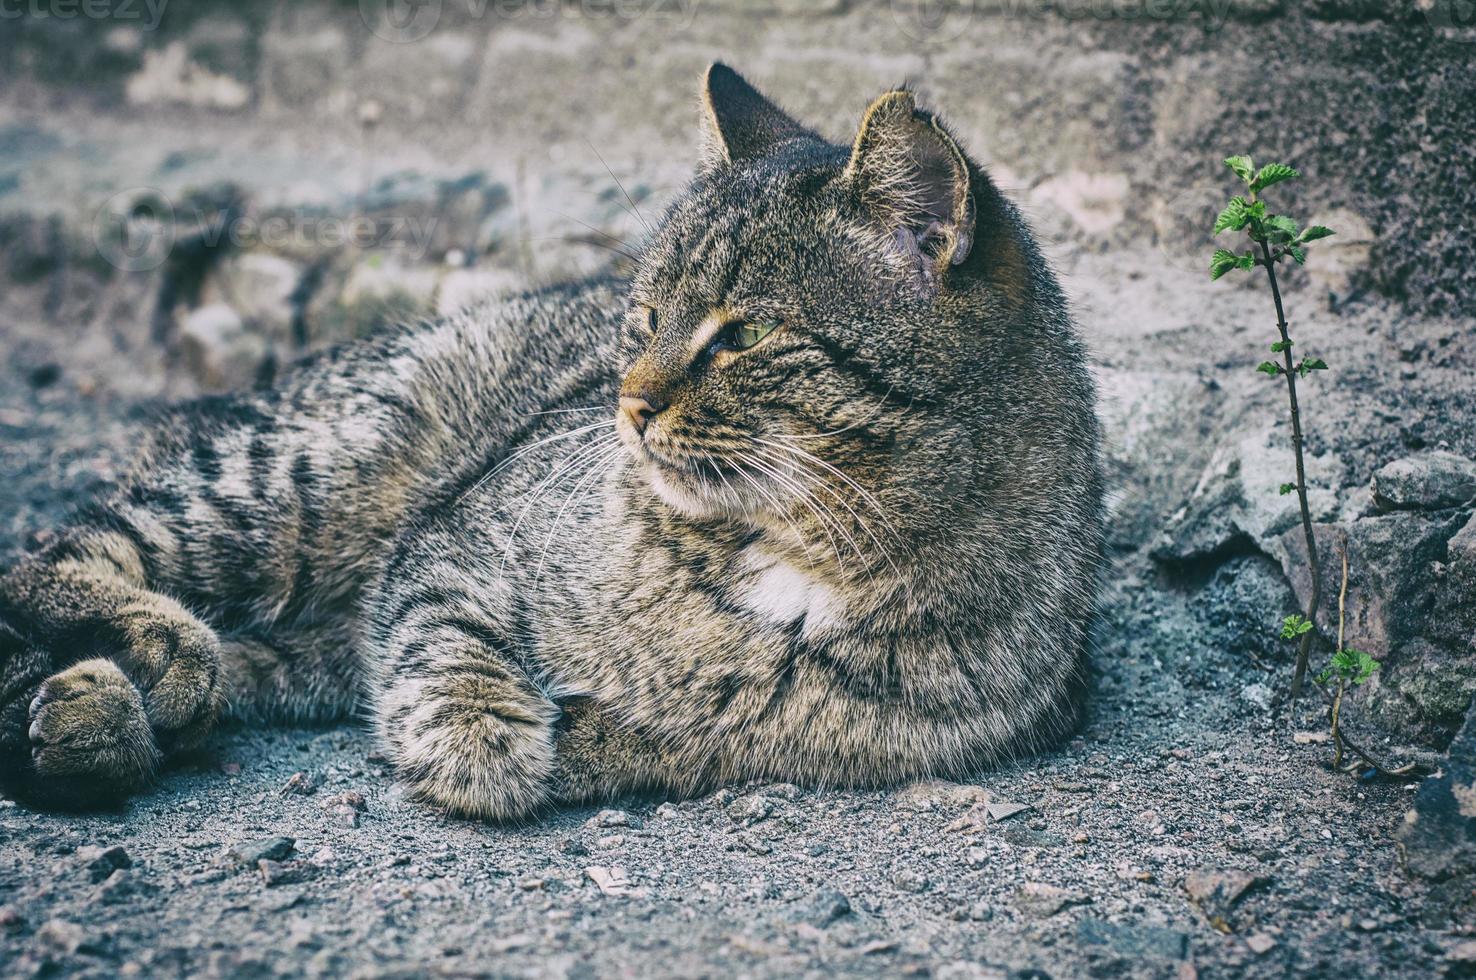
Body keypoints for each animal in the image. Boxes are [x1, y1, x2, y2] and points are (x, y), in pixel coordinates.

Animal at [0, 63, 1104, 820]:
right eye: (645, 315)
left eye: (741, 334)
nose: (629, 403)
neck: (799, 560)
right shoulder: (453, 540)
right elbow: (448, 650)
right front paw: (490, 741)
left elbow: (685, 739)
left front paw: (594, 732)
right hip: (312, 476)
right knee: (58, 556)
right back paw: (152, 655)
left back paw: (97, 714)